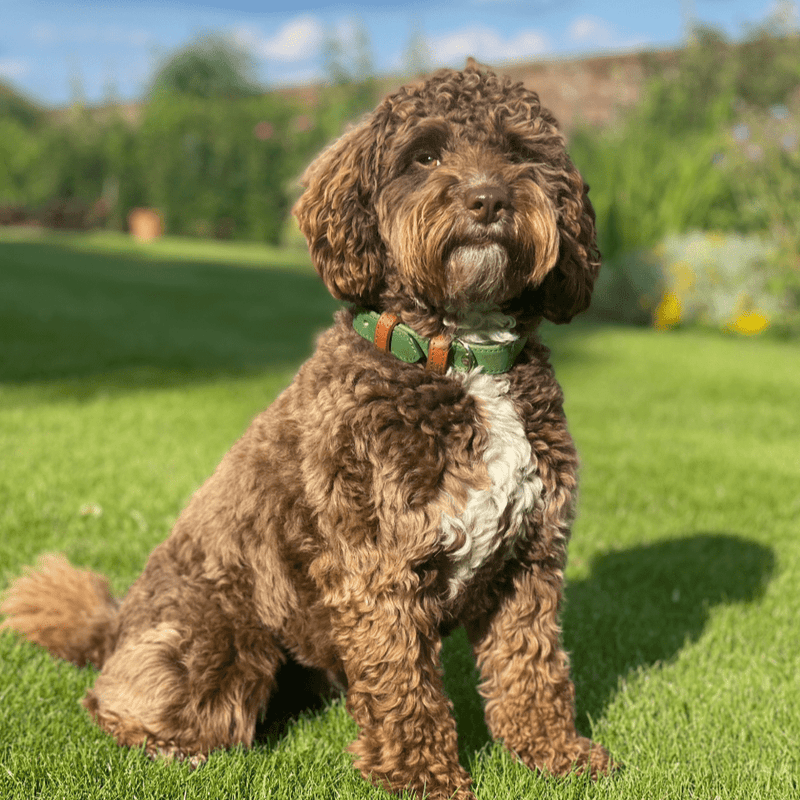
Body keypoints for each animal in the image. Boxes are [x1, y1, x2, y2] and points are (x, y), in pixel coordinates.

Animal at [1, 64, 612, 800]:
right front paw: (423, 776)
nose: (488, 198)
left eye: (520, 153)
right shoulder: (378, 565)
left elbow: (533, 667)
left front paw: (554, 753)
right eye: (425, 155)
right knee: (116, 701)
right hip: (218, 638)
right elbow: (406, 686)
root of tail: (117, 625)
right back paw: (172, 747)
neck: (460, 355)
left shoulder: (530, 561)